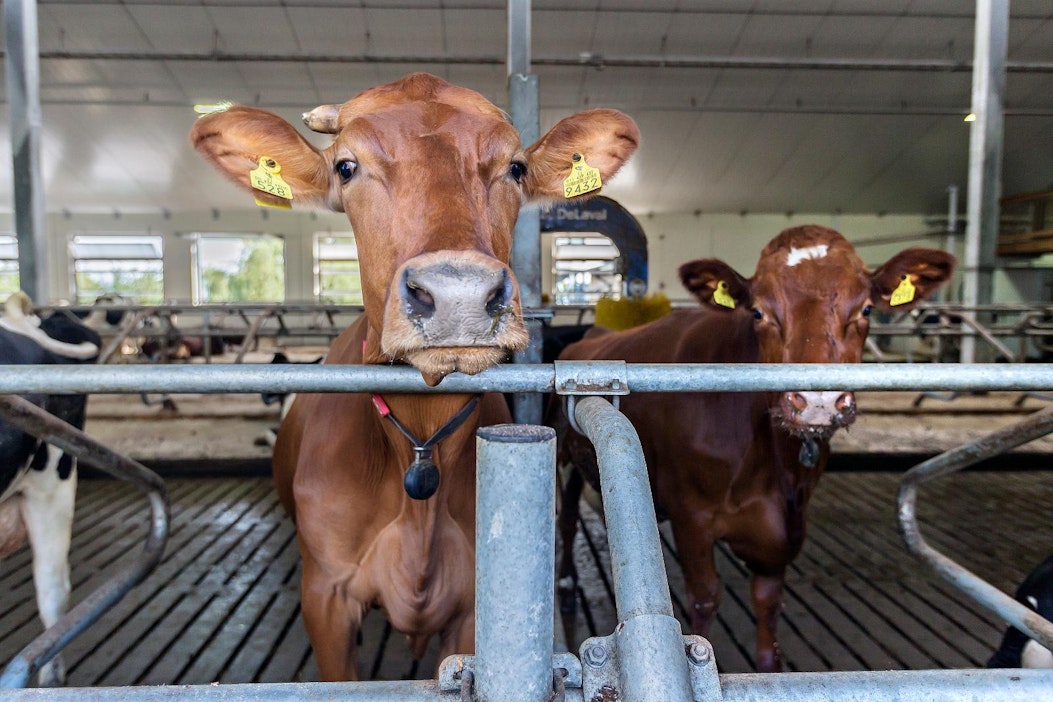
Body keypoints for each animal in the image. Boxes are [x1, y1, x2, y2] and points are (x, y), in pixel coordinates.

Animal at [190, 72, 636, 682]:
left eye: (516, 167)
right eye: (346, 166)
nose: (458, 294)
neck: (419, 444)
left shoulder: (470, 610)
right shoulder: (325, 598)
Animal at [560, 228, 956, 673]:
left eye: (867, 308)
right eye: (758, 313)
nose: (818, 401)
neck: (772, 466)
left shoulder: (780, 534)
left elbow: (768, 615)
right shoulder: (691, 515)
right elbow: (704, 599)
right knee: (567, 520)